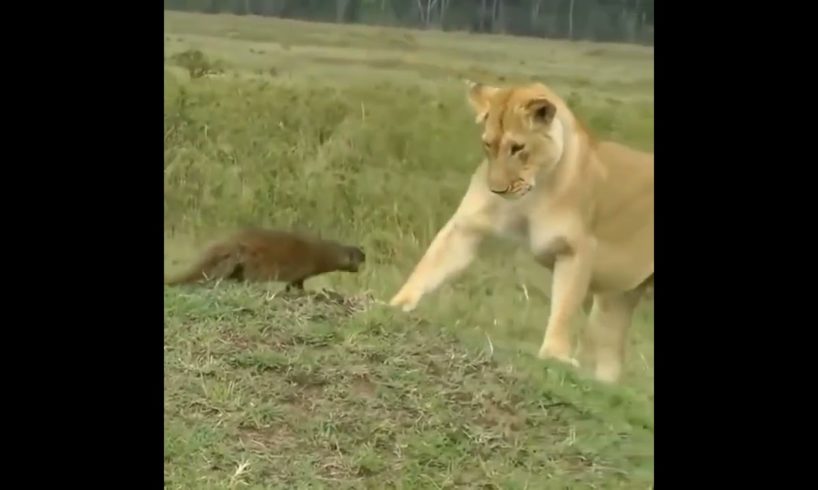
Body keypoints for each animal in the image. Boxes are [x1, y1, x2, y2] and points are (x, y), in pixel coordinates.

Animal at [389, 80, 653, 383]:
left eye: (517, 147)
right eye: (488, 144)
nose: (498, 189)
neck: (535, 189)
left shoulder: (576, 248)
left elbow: (564, 306)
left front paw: (555, 354)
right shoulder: (466, 227)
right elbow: (429, 266)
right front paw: (395, 305)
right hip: (617, 299)